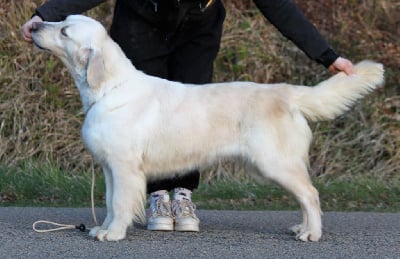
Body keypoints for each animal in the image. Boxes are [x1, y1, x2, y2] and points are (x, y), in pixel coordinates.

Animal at [32, 14, 384, 242]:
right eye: (59, 21)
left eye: (64, 31)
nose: (34, 25)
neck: (108, 89)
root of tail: (287, 92)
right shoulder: (109, 168)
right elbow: (108, 201)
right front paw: (102, 228)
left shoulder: (124, 166)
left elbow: (119, 203)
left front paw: (114, 233)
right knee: (304, 197)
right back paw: (301, 228)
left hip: (276, 162)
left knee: (310, 194)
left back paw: (312, 233)